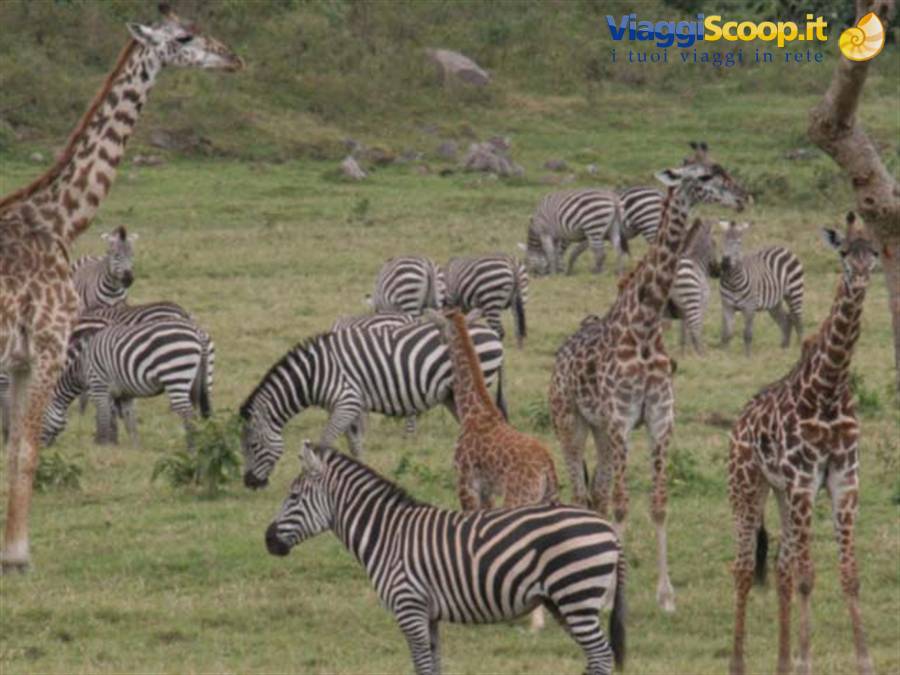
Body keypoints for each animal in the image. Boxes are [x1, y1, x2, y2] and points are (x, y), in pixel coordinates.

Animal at [0, 4, 242, 573]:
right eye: (184, 38)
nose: (233, 59)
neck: (57, 221)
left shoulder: (21, 359)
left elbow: (13, 447)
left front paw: (9, 551)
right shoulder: (47, 346)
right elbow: (28, 449)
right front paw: (19, 557)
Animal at [425, 308, 559, 631]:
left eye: (438, 328)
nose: (438, 342)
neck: (475, 409)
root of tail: (547, 466)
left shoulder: (465, 481)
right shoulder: (486, 489)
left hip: (519, 499)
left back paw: (534, 621)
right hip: (548, 500)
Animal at [549, 161, 749, 612]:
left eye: (726, 171)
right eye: (705, 177)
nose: (743, 197)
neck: (642, 327)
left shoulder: (659, 420)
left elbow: (657, 505)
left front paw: (665, 595)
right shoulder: (623, 421)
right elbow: (624, 505)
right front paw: (610, 597)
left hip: (602, 432)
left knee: (597, 495)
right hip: (570, 422)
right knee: (580, 492)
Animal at [727, 212, 879, 675]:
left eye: (875, 251)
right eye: (844, 252)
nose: (861, 278)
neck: (828, 390)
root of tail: (737, 423)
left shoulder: (843, 481)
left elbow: (849, 576)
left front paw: (863, 661)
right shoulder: (805, 482)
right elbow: (810, 578)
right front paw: (806, 659)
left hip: (780, 493)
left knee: (780, 568)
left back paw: (780, 662)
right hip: (747, 487)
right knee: (744, 568)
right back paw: (738, 663)